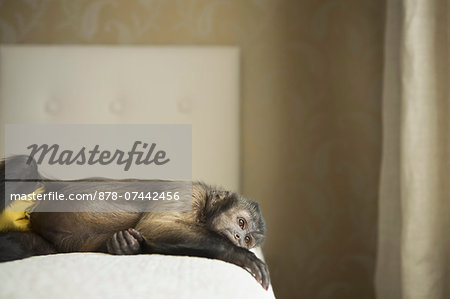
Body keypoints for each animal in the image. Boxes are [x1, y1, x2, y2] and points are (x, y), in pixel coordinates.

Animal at [0, 157, 270, 290]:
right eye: (241, 222)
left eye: (248, 238)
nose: (238, 239)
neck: (203, 210)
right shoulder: (189, 193)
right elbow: (156, 226)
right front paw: (239, 255)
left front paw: (125, 245)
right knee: (25, 164)